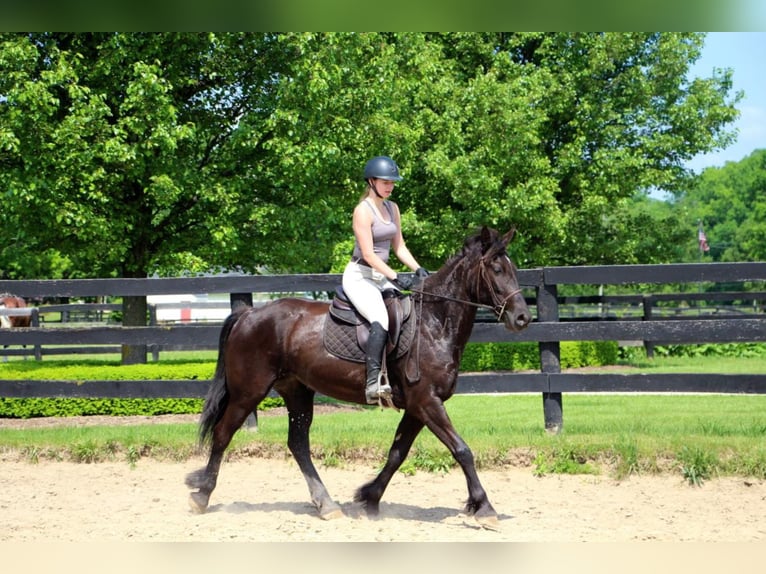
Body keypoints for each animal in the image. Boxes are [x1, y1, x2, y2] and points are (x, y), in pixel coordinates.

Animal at [187, 226, 536, 532]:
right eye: (495, 268)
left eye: (512, 268)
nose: (522, 318)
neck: (434, 325)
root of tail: (248, 314)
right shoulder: (427, 402)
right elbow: (461, 450)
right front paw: (485, 508)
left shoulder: (417, 408)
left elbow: (397, 453)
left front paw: (369, 498)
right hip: (249, 391)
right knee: (223, 434)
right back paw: (202, 495)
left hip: (297, 391)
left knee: (298, 444)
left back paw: (326, 505)